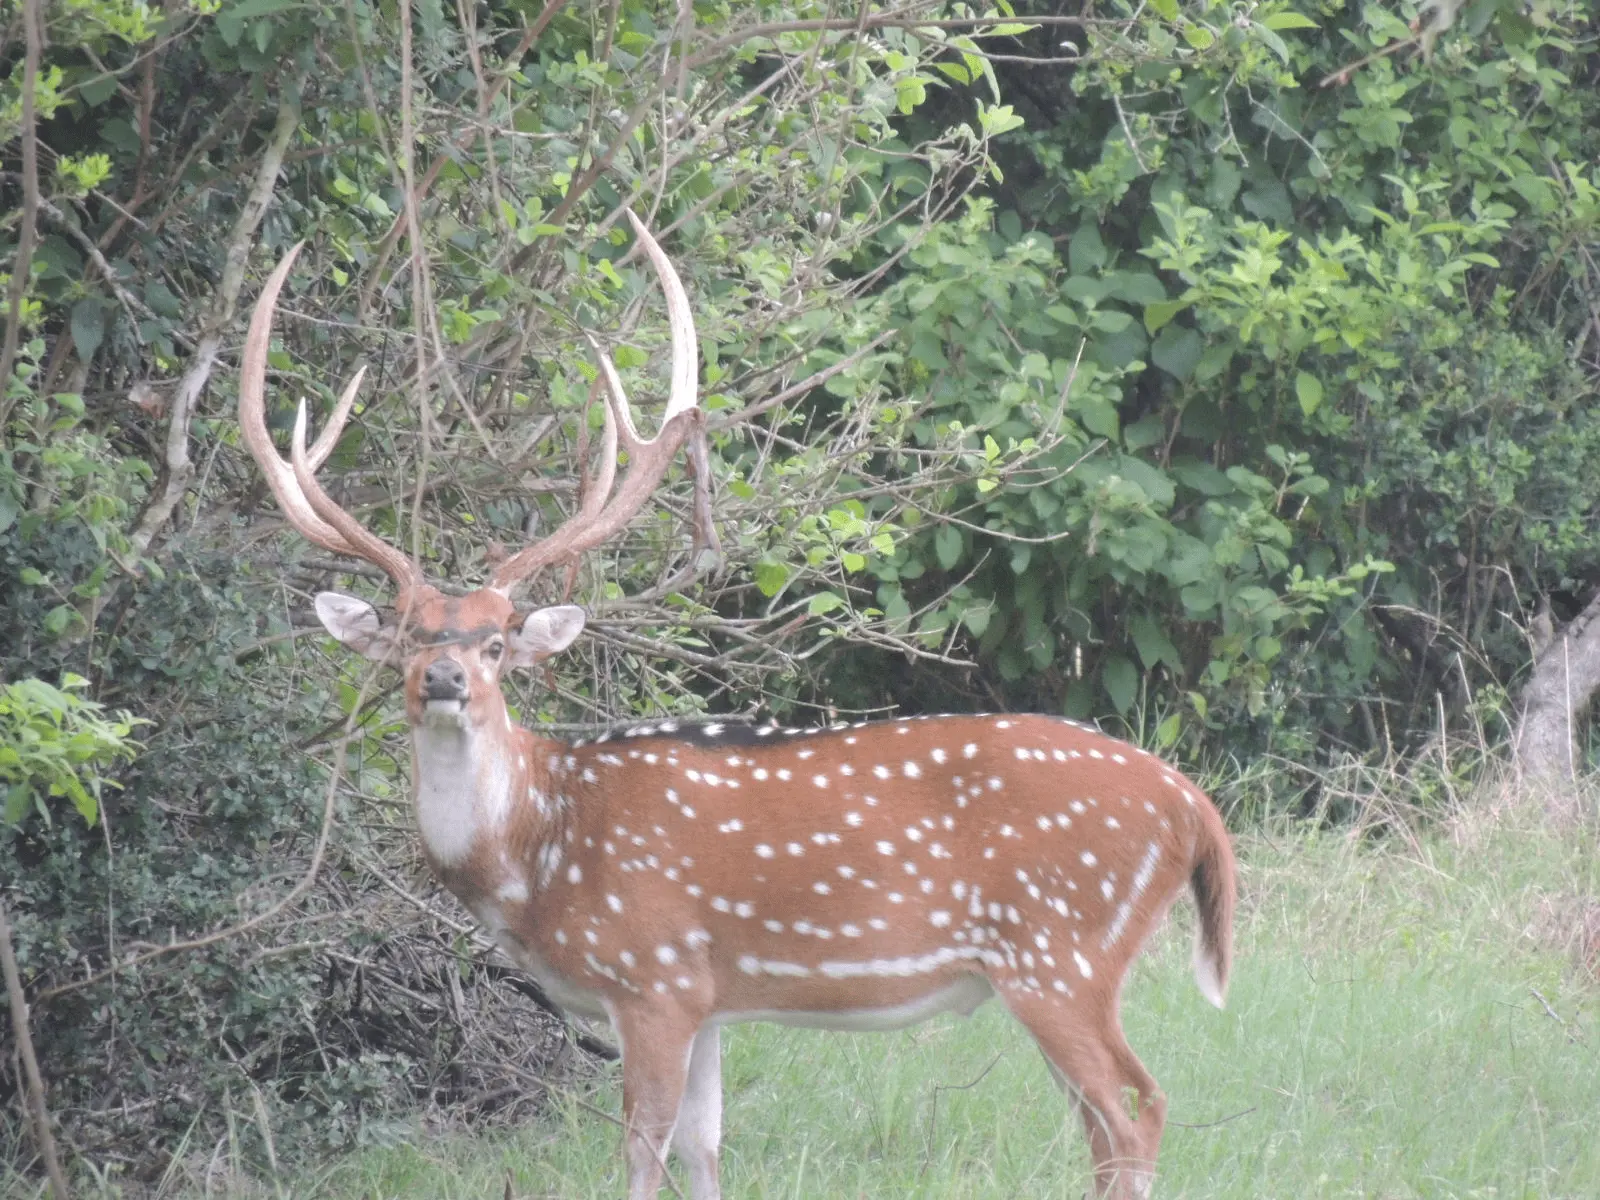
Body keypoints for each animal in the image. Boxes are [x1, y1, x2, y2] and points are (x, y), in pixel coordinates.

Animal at [238, 216, 1237, 1200]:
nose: (443, 680)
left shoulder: (653, 975)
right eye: (408, 635)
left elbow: (642, 1154)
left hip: (1060, 949)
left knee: (1135, 1109)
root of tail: (1194, 808)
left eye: (496, 641)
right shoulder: (709, 997)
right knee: (1109, 1123)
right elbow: (706, 1147)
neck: (539, 851)